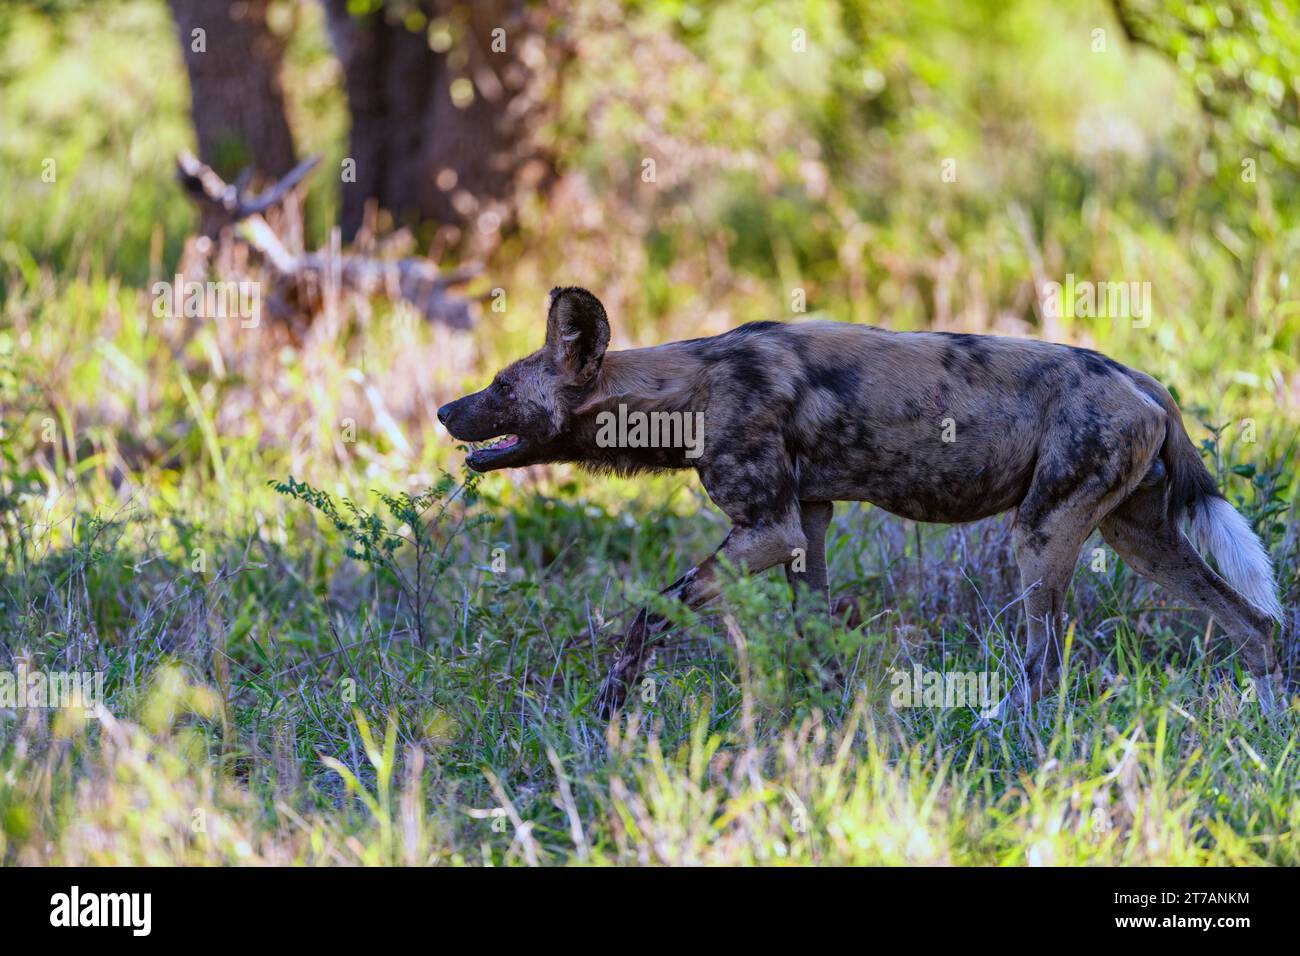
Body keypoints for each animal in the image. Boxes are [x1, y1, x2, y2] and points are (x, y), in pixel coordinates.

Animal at [434, 290, 1279, 717]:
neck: (683, 390)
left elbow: (650, 610)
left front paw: (611, 713)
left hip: (1037, 540)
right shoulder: (805, 526)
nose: (444, 409)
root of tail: (1141, 379)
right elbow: (816, 637)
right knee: (1257, 624)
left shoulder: (766, 529)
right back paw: (1271, 721)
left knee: (1044, 663)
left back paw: (995, 728)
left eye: (502, 388)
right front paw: (832, 729)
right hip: (1137, 538)